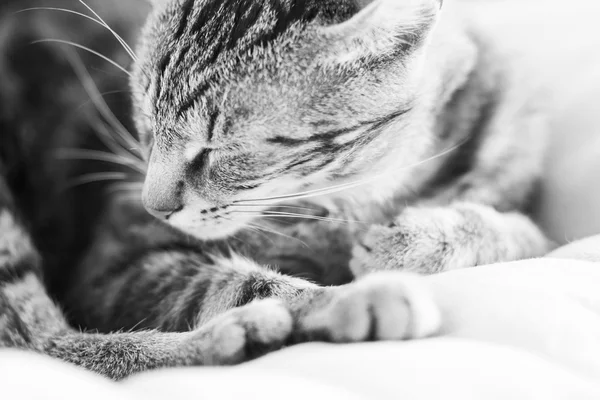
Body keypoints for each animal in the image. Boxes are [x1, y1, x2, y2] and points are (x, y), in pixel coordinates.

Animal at [0, 0, 552, 378]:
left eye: (216, 149)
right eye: (146, 119)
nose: (152, 205)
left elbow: (520, 231)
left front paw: (420, 239)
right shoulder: (110, 265)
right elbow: (246, 282)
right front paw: (343, 297)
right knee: (41, 338)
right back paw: (244, 336)